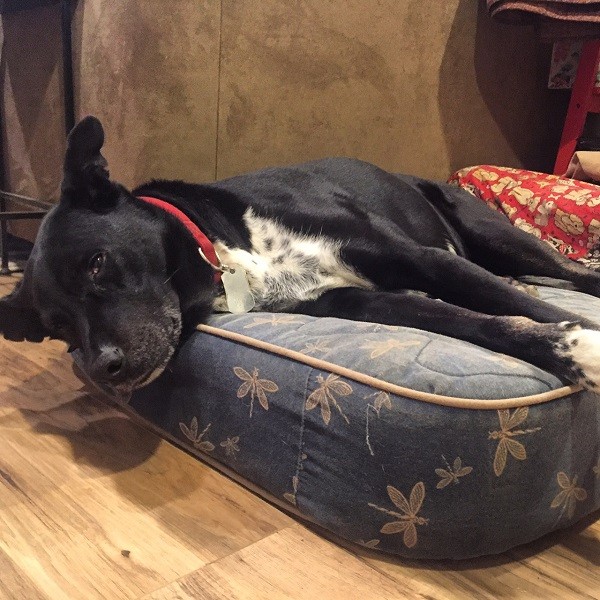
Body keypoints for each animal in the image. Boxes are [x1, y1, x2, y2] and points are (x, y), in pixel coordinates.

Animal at [1, 117, 600, 398]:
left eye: (97, 262)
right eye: (58, 328)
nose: (103, 370)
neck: (232, 251)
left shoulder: (426, 260)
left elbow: (528, 312)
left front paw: (582, 345)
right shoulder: (365, 303)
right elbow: (482, 323)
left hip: (492, 233)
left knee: (569, 274)